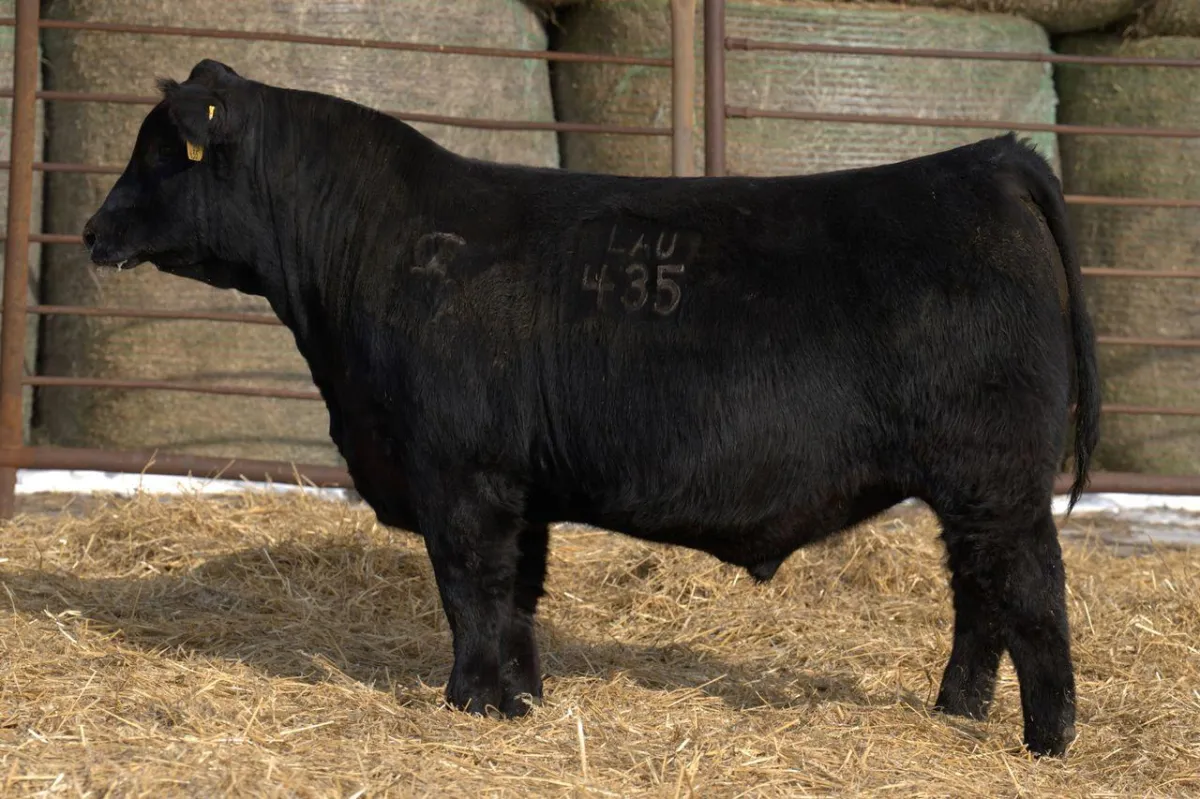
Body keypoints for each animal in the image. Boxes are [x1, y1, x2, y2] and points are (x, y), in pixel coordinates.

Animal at [82, 59, 1100, 758]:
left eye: (161, 153)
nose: (91, 229)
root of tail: (990, 160)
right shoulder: (517, 486)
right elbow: (517, 599)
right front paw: (518, 703)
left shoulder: (461, 475)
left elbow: (473, 592)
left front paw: (465, 702)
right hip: (972, 487)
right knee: (978, 595)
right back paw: (955, 714)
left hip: (996, 479)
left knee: (1029, 591)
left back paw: (1047, 742)